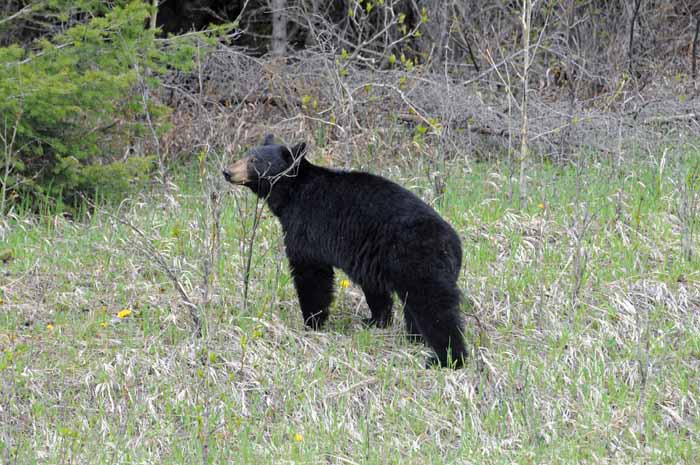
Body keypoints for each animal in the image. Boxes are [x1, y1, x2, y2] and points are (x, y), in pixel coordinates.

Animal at [221, 134, 468, 366]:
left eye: (254, 160)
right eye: (245, 154)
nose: (227, 171)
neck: (292, 193)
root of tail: (454, 245)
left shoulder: (306, 226)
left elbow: (311, 275)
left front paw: (311, 322)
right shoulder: (369, 258)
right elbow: (374, 288)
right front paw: (375, 321)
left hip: (417, 261)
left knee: (435, 308)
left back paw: (447, 358)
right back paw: (415, 338)